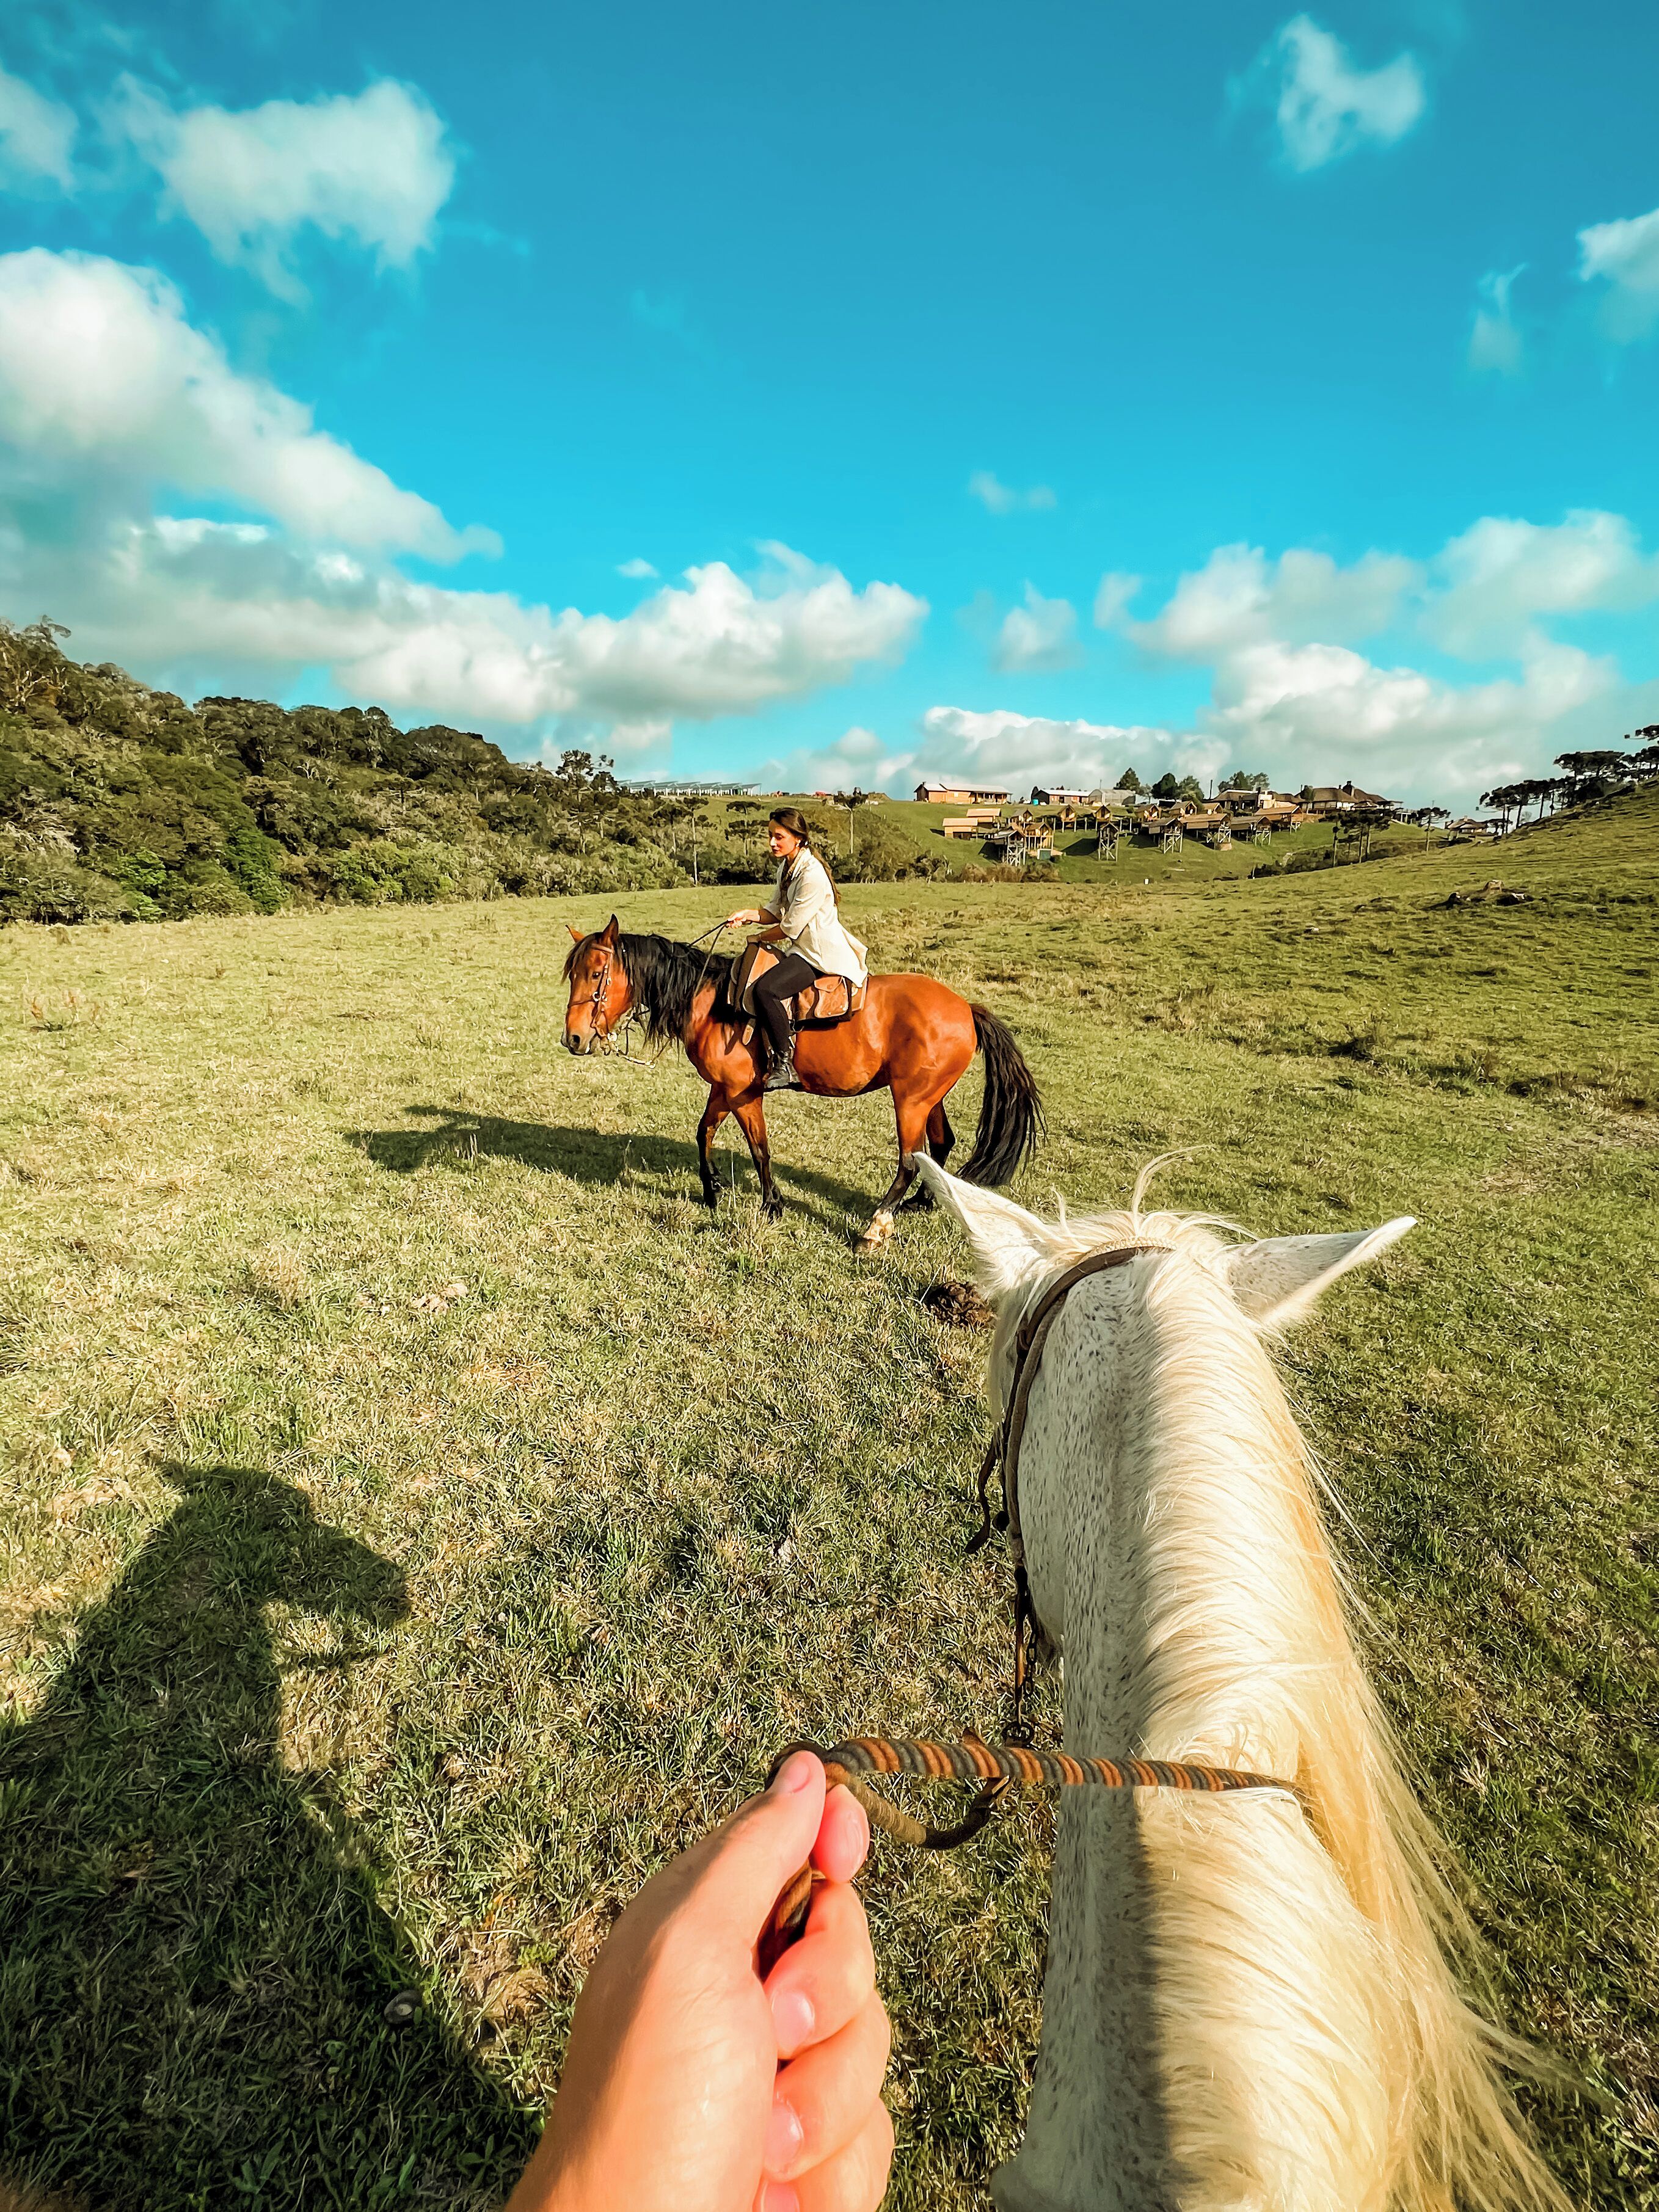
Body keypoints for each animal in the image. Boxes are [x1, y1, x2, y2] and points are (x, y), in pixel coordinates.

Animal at [561, 916, 1042, 1251]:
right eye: (574, 974)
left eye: (597, 973)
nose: (574, 1039)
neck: (712, 1001)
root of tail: (966, 1008)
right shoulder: (723, 1090)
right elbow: (704, 1132)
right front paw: (711, 1188)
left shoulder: (744, 1094)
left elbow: (760, 1149)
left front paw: (772, 1204)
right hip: (927, 1097)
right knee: (940, 1146)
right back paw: (921, 1203)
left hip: (909, 1101)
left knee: (909, 1160)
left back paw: (876, 1227)